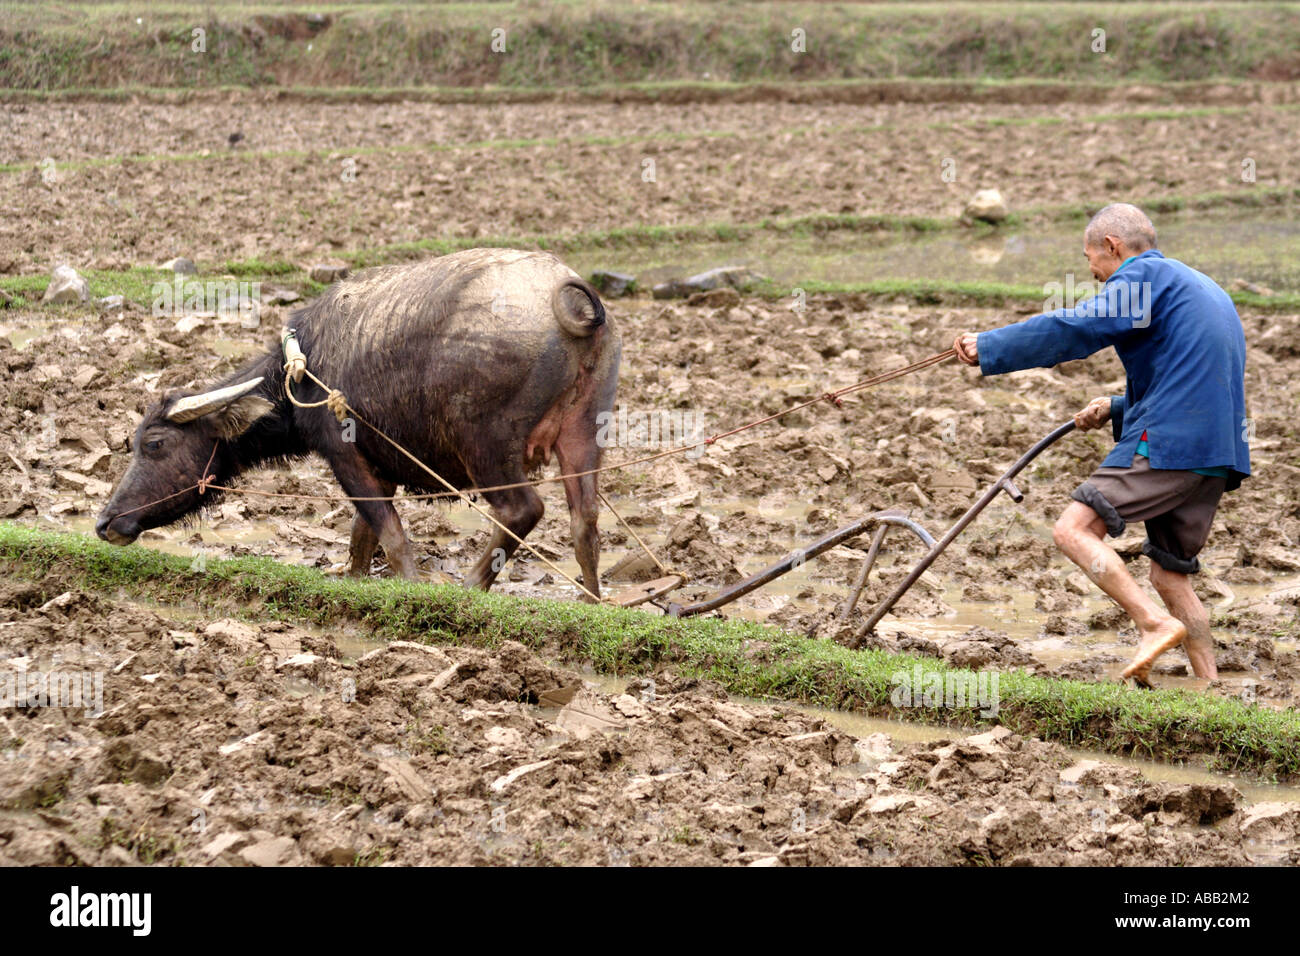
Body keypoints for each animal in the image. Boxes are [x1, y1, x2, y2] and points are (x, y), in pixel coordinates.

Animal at [95, 249, 621, 600]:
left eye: (155, 444)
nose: (104, 522)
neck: (304, 366)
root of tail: (570, 306)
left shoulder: (345, 453)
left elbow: (390, 537)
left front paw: (411, 587)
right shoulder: (380, 464)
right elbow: (360, 540)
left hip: (486, 444)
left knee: (522, 510)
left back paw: (471, 585)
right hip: (585, 433)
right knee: (585, 522)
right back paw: (592, 601)